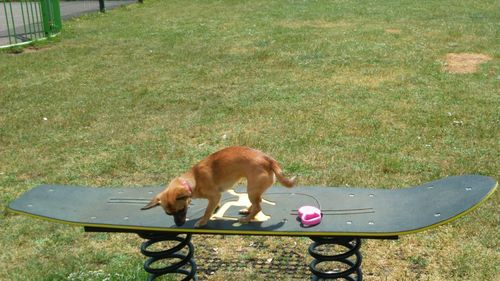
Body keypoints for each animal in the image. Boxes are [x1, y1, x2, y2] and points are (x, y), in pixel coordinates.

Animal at [141, 145, 294, 226]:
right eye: (168, 214)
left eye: (182, 209)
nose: (179, 225)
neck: (194, 178)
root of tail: (268, 160)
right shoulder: (214, 198)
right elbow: (212, 206)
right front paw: (216, 209)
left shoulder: (215, 195)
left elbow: (207, 211)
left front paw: (202, 221)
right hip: (254, 190)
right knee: (258, 202)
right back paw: (247, 211)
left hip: (251, 189)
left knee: (258, 207)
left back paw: (246, 219)